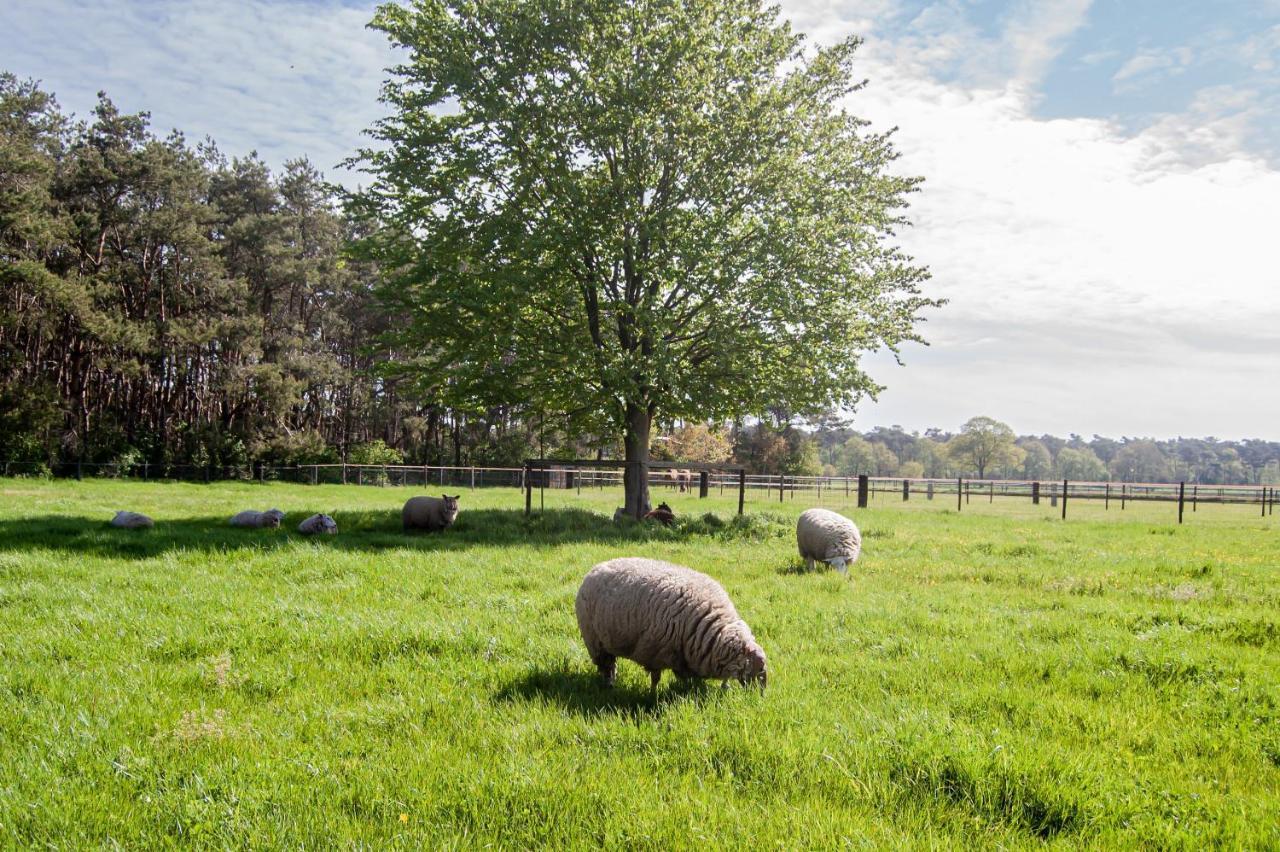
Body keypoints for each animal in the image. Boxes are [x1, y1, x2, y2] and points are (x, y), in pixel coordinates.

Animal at [576, 557, 762, 690]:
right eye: (757, 670)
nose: (757, 697)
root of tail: (597, 566)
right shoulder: (654, 652)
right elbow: (655, 678)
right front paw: (653, 694)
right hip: (595, 641)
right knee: (607, 666)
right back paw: (609, 684)